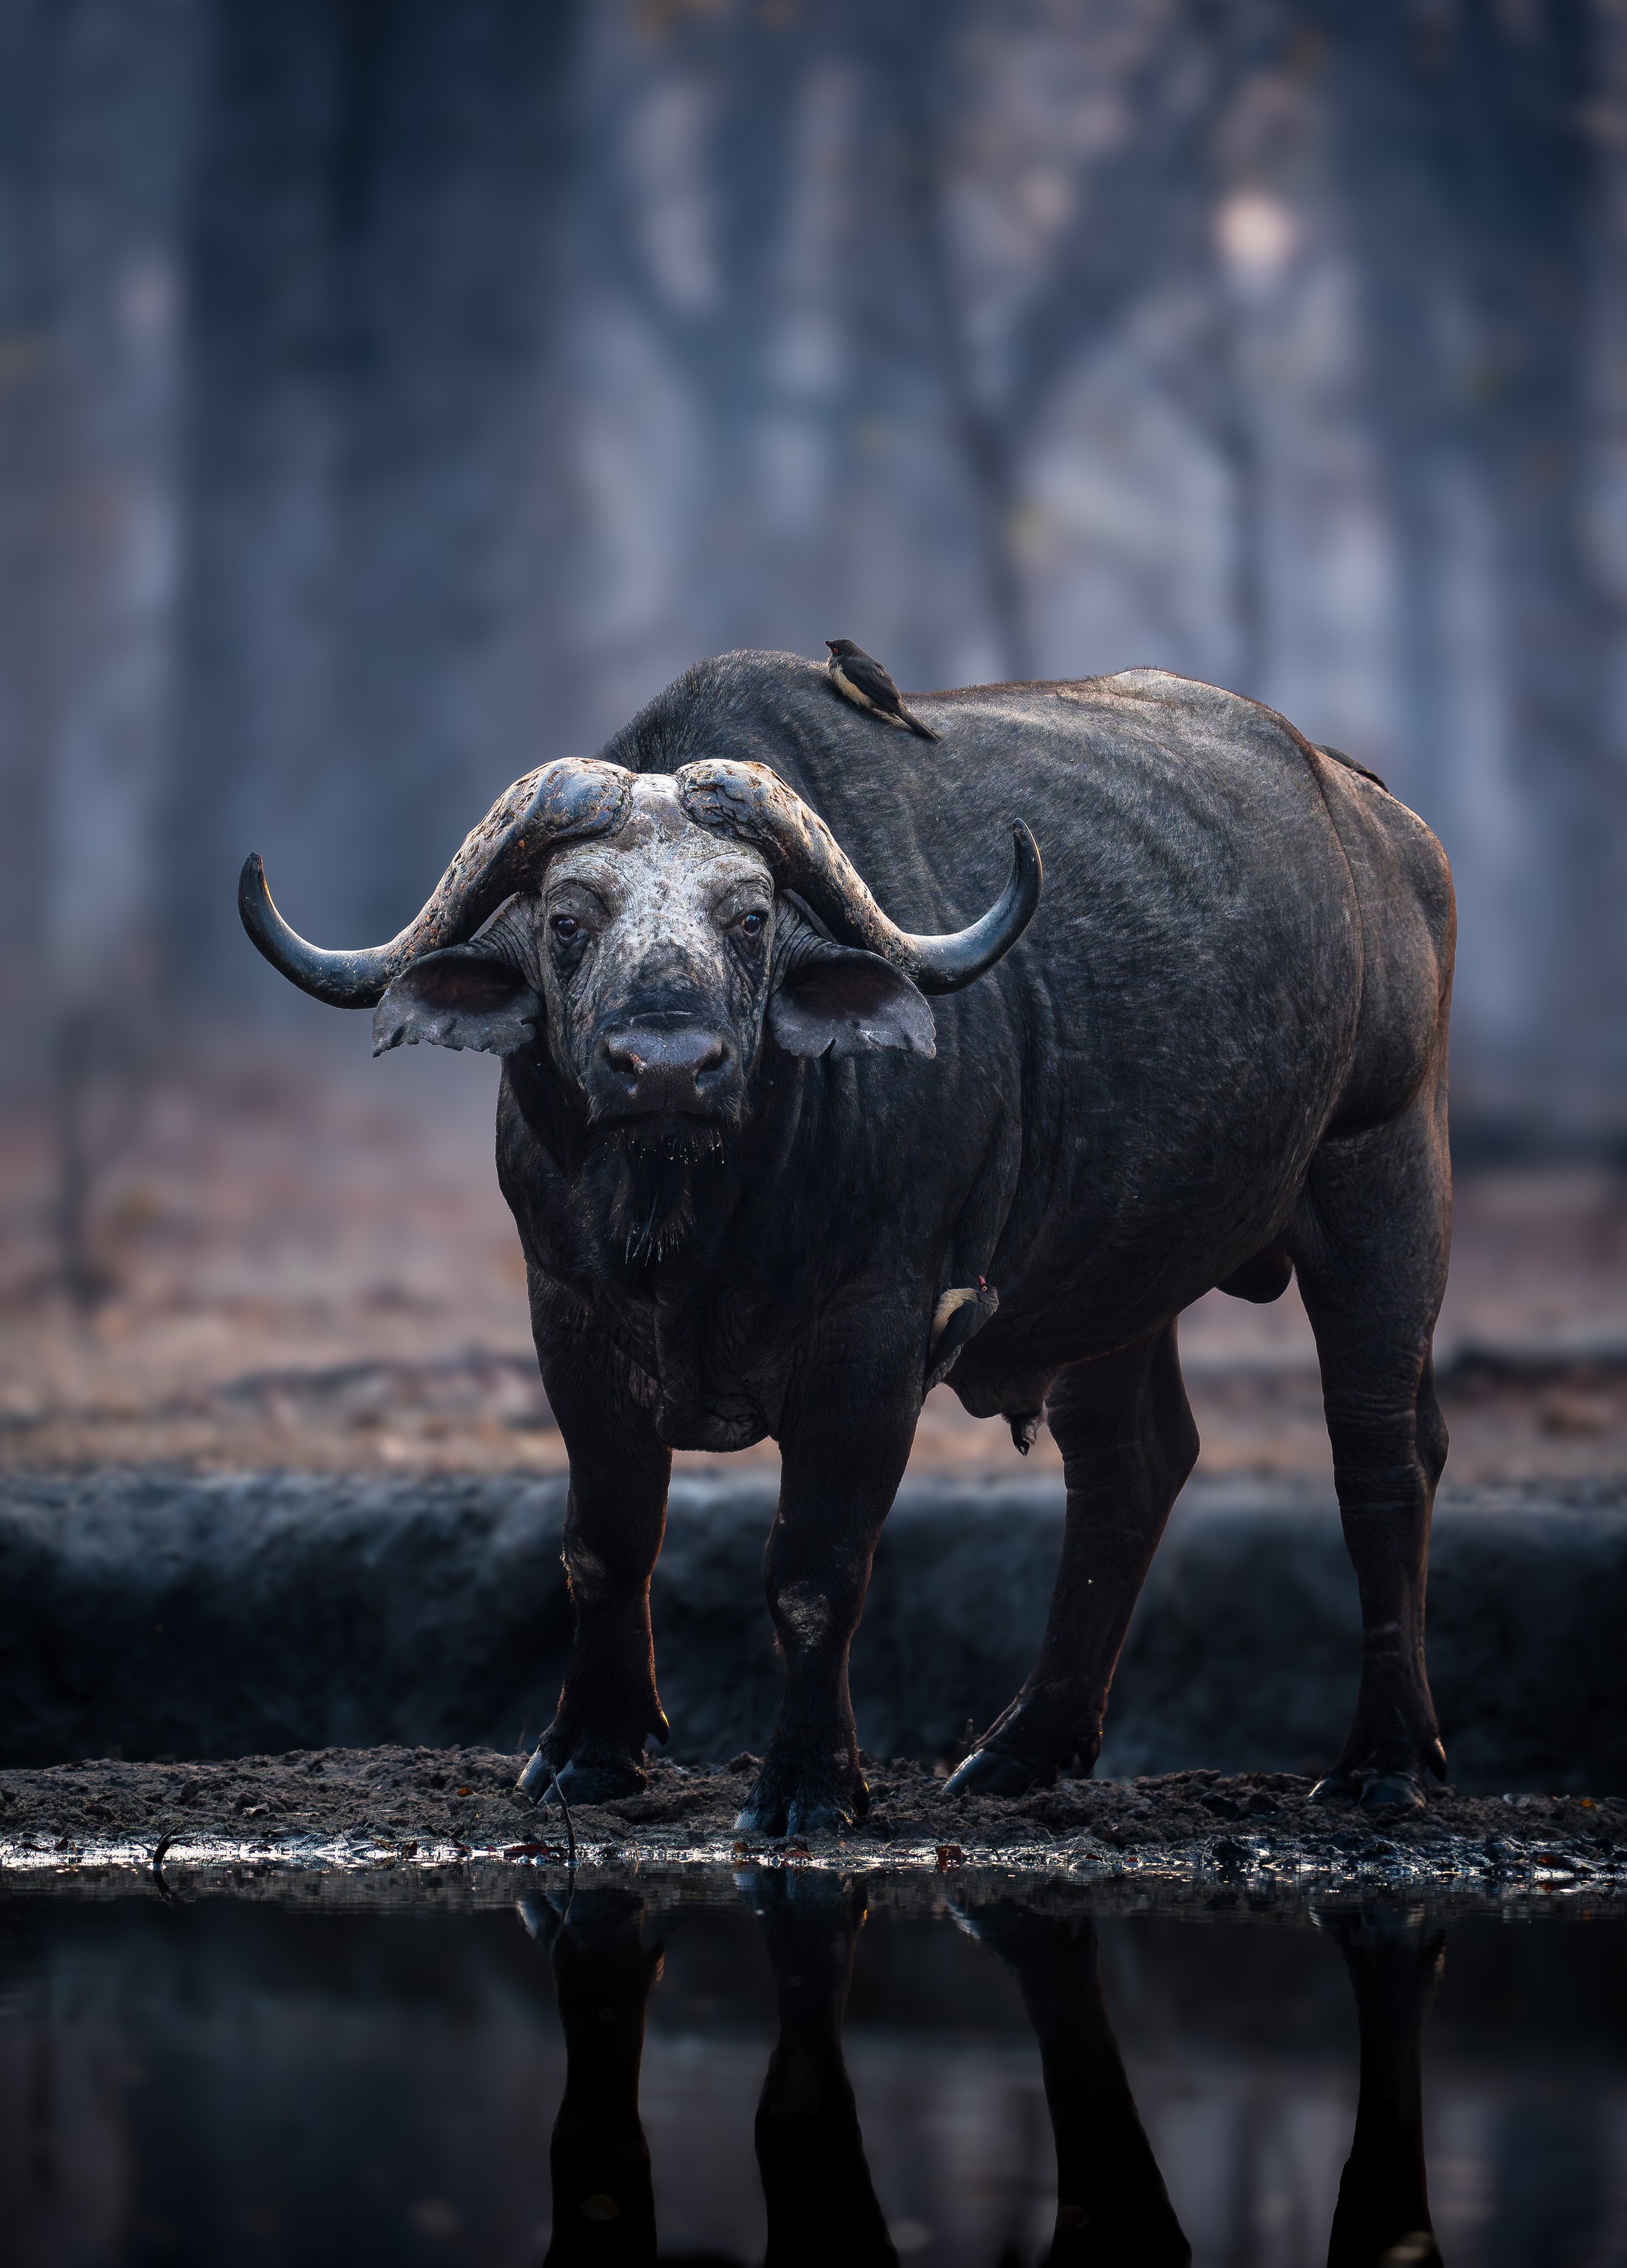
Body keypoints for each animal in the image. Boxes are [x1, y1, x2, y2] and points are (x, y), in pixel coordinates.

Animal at [241, 650, 1455, 1834]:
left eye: (750, 918)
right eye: (567, 923)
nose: (668, 1063)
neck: (691, 1222)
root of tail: (1389, 831)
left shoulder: (873, 1334)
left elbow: (814, 1566)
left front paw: (810, 1782)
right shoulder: (568, 1317)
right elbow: (606, 1541)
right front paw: (589, 1751)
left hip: (1383, 1180)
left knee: (1383, 1457)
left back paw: (1386, 1762)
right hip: (1114, 1282)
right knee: (1131, 1468)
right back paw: (1022, 1748)